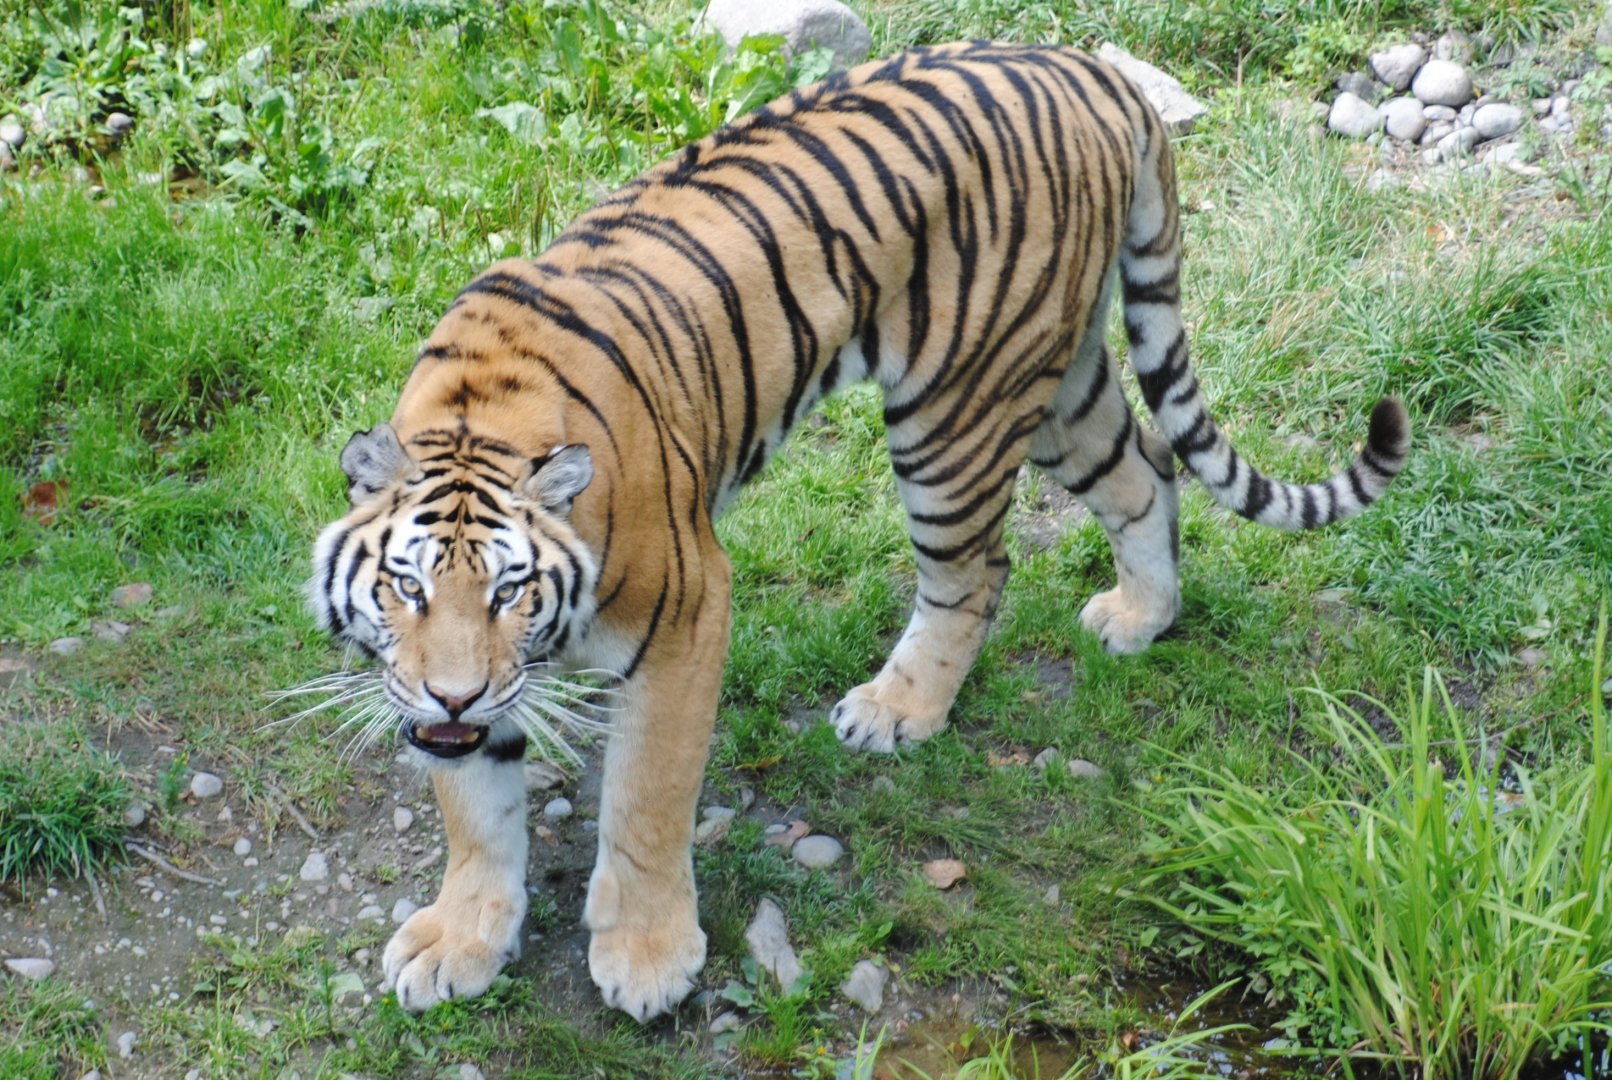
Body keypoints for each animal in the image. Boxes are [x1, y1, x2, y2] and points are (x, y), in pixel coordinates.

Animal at [307, 41, 1409, 1022]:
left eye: (511, 590)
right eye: (407, 588)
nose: (454, 691)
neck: (476, 418)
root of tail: (1088, 69)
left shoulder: (686, 614)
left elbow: (645, 801)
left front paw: (648, 958)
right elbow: (474, 812)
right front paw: (462, 939)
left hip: (955, 406)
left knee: (980, 568)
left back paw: (899, 709)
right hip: (1060, 379)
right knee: (1144, 467)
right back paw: (1140, 617)